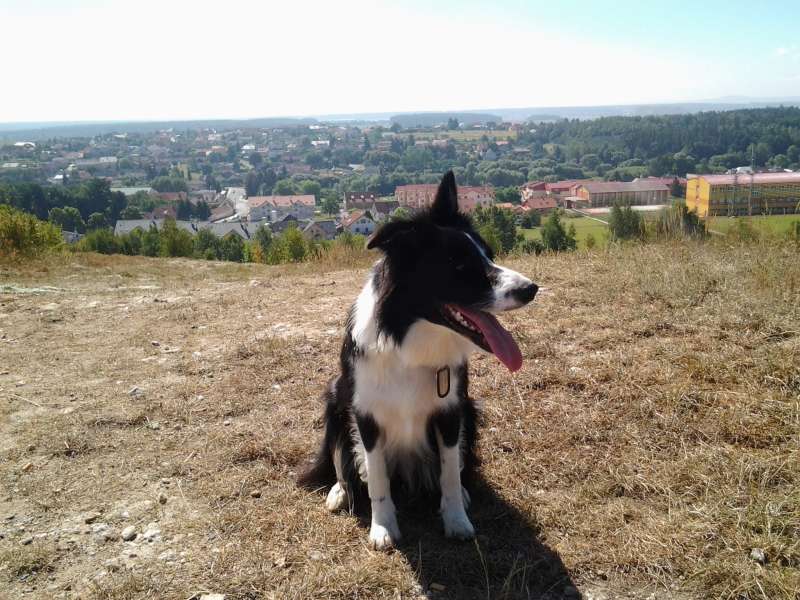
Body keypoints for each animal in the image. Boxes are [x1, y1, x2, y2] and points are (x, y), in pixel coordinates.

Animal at [299, 171, 538, 550]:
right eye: (459, 265)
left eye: (489, 255)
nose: (531, 289)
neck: (408, 344)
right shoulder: (365, 415)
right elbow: (377, 479)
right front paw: (382, 527)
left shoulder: (451, 411)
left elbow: (450, 474)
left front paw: (456, 520)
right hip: (334, 400)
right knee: (339, 459)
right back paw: (340, 491)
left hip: (470, 409)